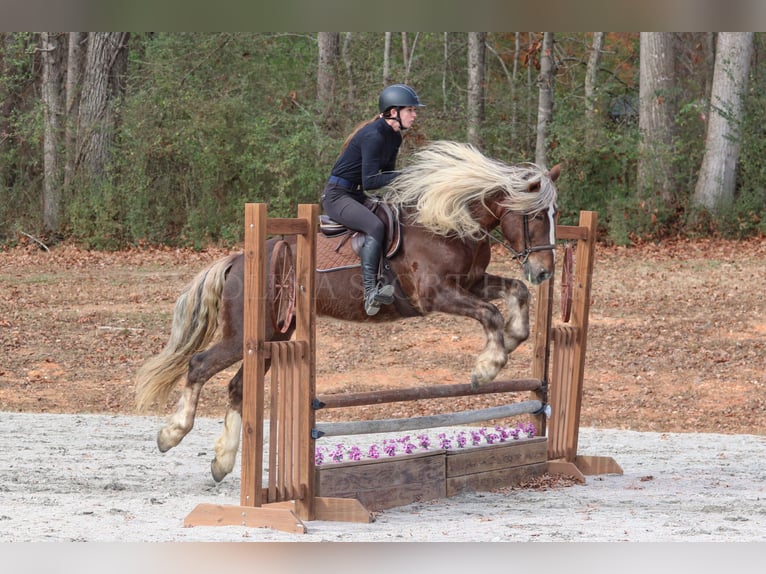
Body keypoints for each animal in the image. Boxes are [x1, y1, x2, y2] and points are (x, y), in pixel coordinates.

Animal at [135, 142, 560, 484]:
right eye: (538, 216)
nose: (544, 272)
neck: (449, 222)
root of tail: (239, 260)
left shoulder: (471, 283)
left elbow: (515, 292)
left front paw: (515, 337)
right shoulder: (437, 295)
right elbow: (490, 314)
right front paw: (487, 367)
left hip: (274, 336)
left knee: (237, 386)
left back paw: (222, 461)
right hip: (245, 335)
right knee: (199, 365)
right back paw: (171, 434)